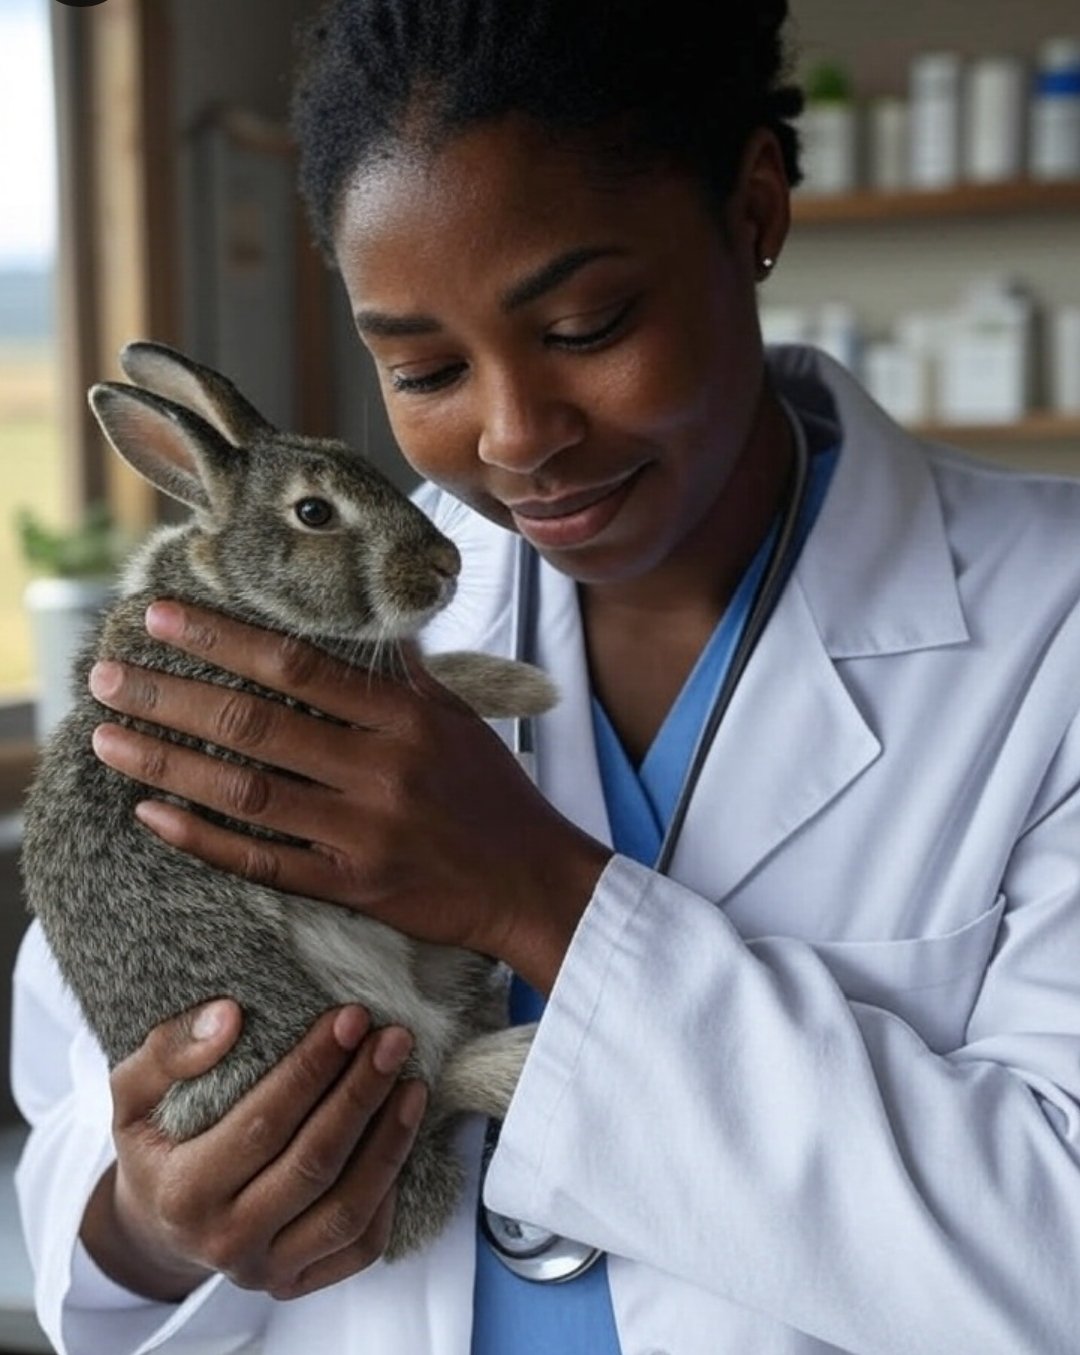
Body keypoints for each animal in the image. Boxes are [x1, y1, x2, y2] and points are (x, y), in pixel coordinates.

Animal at [20, 339, 557, 1260]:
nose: (446, 566)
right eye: (314, 512)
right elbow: (444, 675)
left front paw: (523, 686)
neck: (240, 594)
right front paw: (530, 687)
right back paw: (518, 1058)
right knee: (426, 1077)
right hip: (339, 1028)